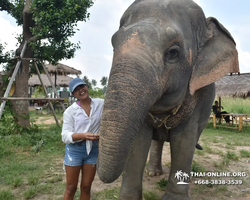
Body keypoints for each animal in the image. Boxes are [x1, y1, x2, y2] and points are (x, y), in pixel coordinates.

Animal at [97, 0, 238, 199]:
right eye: (112, 44)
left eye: (173, 52)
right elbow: (138, 142)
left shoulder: (199, 98)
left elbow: (184, 141)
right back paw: (153, 173)